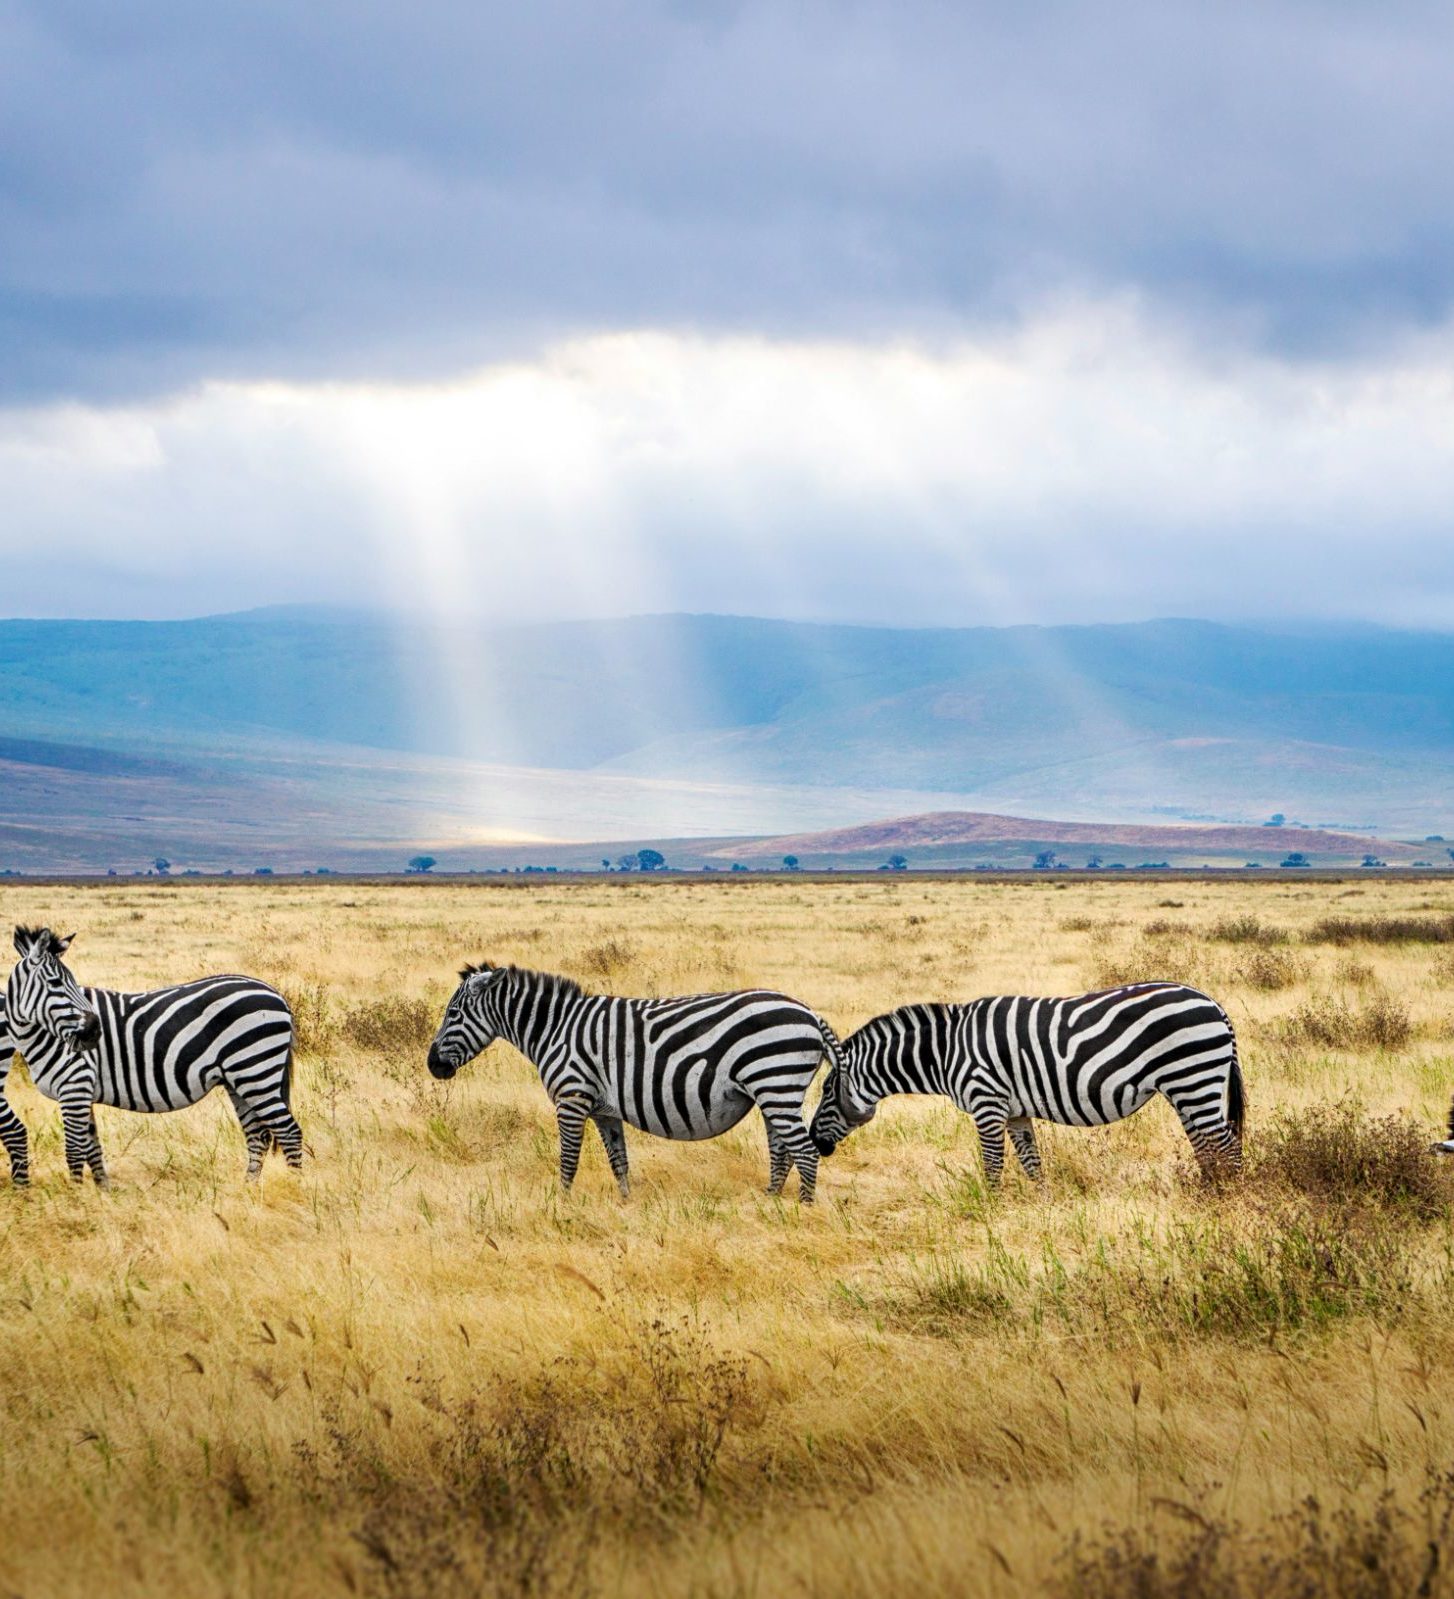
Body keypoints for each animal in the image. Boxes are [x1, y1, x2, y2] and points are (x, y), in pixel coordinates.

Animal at [4, 925, 303, 1186]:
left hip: (256, 1070)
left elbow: (75, 1152)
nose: (94, 1032)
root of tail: (276, 993)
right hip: (238, 1079)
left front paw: (76, 1197)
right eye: (56, 982)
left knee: (289, 1132)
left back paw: (295, 1187)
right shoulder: (82, 1092)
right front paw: (103, 1194)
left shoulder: (74, 1086)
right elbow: (93, 1150)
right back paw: (248, 1190)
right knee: (258, 1135)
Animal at [426, 961, 842, 1201]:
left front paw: (561, 1206)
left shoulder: (572, 1098)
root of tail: (809, 1013)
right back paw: (769, 1202)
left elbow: (569, 1159)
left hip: (775, 1083)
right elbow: (619, 1160)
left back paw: (802, 1211)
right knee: (782, 1150)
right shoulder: (604, 1109)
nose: (433, 1066)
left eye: (453, 1013)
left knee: (804, 1152)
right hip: (773, 1091)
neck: (555, 1028)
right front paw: (626, 1206)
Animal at [810, 981, 1243, 1186]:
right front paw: (1041, 1208)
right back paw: (1208, 1193)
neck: (947, 1051)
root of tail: (1213, 1004)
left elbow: (992, 1165)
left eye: (827, 1093)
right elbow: (1032, 1164)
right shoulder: (1015, 1111)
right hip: (1188, 1088)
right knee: (1207, 1145)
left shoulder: (986, 1103)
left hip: (1193, 1078)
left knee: (1226, 1145)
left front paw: (990, 1211)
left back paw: (1228, 1200)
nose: (815, 1141)